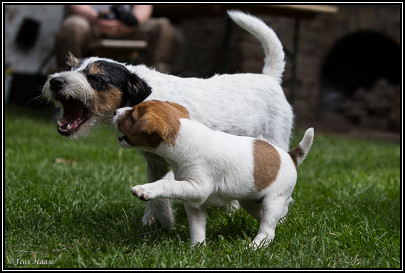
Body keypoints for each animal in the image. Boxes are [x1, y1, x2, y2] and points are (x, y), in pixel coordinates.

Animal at [41, 10, 294, 228]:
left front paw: (164, 219)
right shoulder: (155, 163)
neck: (147, 98)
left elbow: (165, 185)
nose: (55, 81)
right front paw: (150, 220)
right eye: (70, 67)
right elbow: (157, 186)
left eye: (96, 78)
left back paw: (279, 218)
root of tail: (269, 78)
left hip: (276, 142)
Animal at [113, 100, 312, 246]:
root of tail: (290, 156)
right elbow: (197, 229)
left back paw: (253, 247)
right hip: (250, 201)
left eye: (131, 116)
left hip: (274, 200)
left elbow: (166, 183)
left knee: (268, 230)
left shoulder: (198, 188)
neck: (184, 138)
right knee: (267, 220)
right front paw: (197, 250)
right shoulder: (195, 203)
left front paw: (145, 190)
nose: (115, 111)